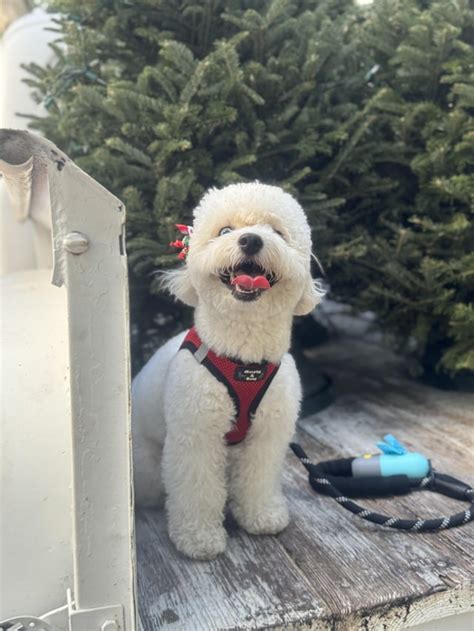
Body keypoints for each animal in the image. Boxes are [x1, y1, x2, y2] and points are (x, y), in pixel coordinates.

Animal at [132, 181, 322, 556]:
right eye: (224, 231)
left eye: (277, 232)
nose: (250, 240)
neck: (242, 359)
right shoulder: (196, 434)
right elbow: (197, 488)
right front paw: (199, 539)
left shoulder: (268, 434)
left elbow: (259, 477)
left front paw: (263, 517)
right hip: (147, 468)